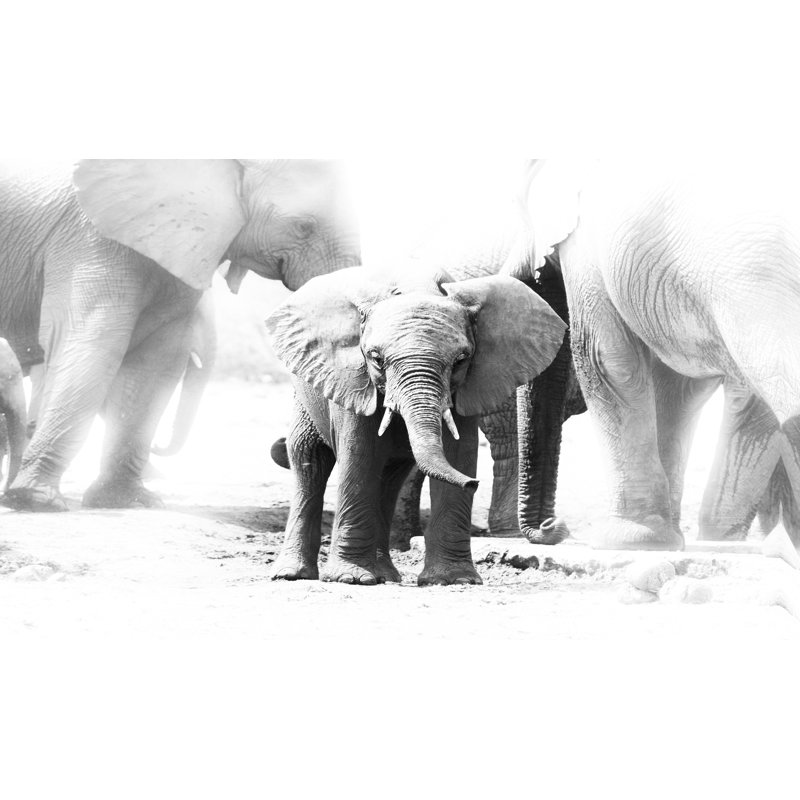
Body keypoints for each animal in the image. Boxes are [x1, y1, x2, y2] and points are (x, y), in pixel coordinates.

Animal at [0, 159, 360, 512]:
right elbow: (96, 344)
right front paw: (35, 500)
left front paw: (124, 500)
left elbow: (157, 361)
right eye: (303, 226)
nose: (280, 446)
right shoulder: (90, 238)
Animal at [264, 265, 566, 585]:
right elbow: (358, 459)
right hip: (304, 395)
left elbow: (459, 452)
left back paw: (386, 575)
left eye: (461, 360)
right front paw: (351, 578)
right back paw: (292, 574)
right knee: (309, 459)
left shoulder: (469, 386)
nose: (474, 483)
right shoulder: (354, 382)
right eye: (376, 358)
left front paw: (455, 580)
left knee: (390, 478)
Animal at [505, 159, 800, 550]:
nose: (555, 526)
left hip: (756, 276)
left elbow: (603, 357)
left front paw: (629, 541)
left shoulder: (586, 243)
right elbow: (676, 388)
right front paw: (665, 539)